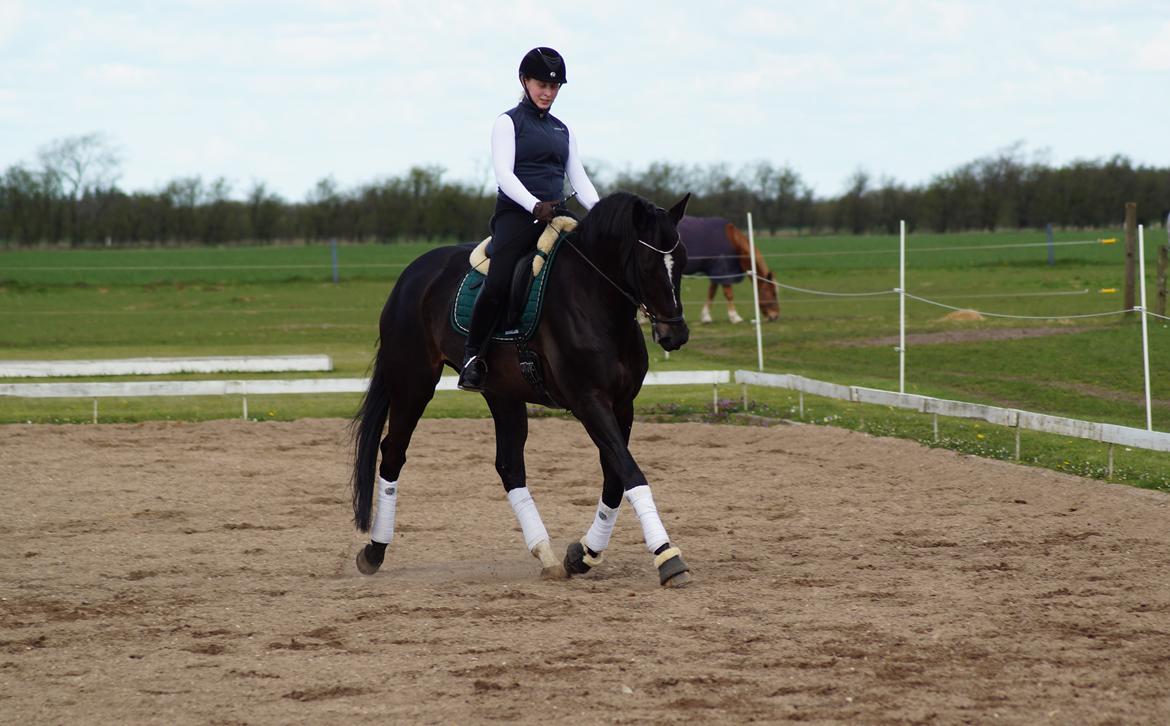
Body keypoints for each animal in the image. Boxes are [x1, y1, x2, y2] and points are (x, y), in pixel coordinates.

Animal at [346, 192, 692, 589]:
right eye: (649, 266)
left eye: (682, 262)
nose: (675, 335)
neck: (595, 300)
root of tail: (411, 274)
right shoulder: (589, 401)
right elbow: (631, 473)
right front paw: (667, 556)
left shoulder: (622, 404)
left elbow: (616, 478)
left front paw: (584, 554)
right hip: (413, 383)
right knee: (393, 454)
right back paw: (374, 551)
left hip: (502, 393)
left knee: (509, 465)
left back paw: (547, 555)